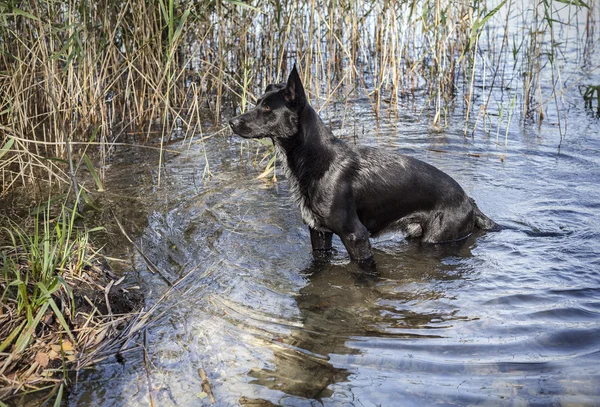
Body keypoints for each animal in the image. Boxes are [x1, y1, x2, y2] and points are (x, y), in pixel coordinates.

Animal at [227, 65, 494, 266]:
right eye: (258, 102)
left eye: (267, 108)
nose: (231, 122)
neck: (318, 159)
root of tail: (469, 201)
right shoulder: (318, 232)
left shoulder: (355, 235)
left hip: (437, 238)